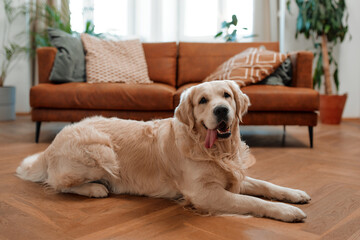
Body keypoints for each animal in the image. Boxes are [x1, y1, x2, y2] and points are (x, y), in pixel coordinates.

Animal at [16, 81, 310, 223]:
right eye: (203, 100)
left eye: (226, 95)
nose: (221, 111)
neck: (217, 150)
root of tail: (51, 145)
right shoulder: (204, 194)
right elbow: (252, 201)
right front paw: (286, 211)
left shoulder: (233, 176)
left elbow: (266, 185)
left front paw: (294, 194)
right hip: (101, 151)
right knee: (57, 183)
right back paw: (95, 188)